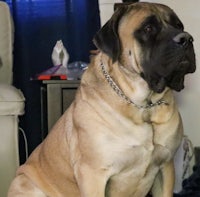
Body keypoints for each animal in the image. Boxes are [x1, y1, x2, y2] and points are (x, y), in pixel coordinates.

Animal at [7, 1, 195, 197]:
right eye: (148, 28)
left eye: (179, 26)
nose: (187, 39)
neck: (144, 105)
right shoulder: (93, 174)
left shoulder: (165, 167)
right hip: (25, 183)